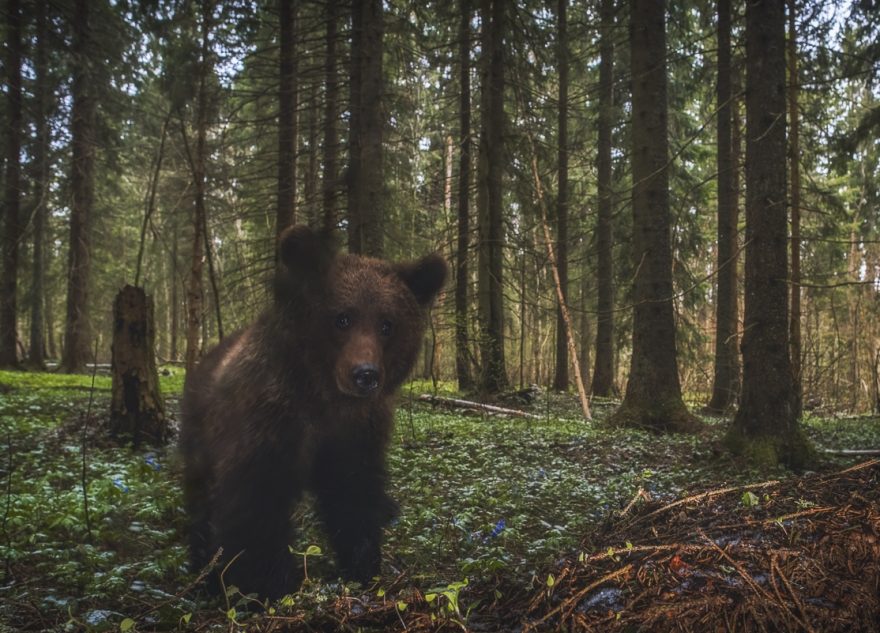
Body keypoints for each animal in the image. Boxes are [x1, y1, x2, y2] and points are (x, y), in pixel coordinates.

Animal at [180, 225, 446, 600]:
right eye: (342, 318)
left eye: (387, 324)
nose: (365, 374)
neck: (324, 397)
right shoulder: (268, 424)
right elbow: (256, 506)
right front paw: (266, 585)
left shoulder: (355, 433)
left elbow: (353, 497)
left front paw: (364, 567)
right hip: (202, 434)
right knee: (201, 499)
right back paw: (202, 569)